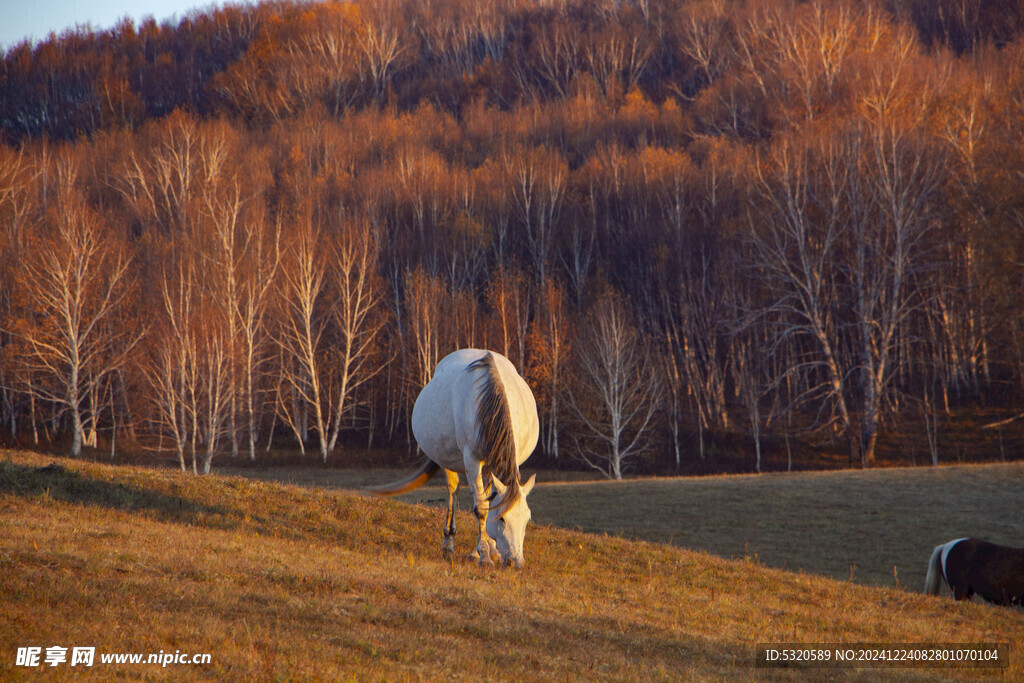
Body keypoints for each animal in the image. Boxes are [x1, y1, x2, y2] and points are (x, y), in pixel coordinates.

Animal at [370, 350, 544, 569]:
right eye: (502, 519)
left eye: (527, 520)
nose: (516, 562)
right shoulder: (471, 459)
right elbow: (482, 509)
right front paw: (484, 555)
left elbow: (488, 502)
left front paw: (486, 551)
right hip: (448, 458)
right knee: (453, 490)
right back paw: (449, 545)